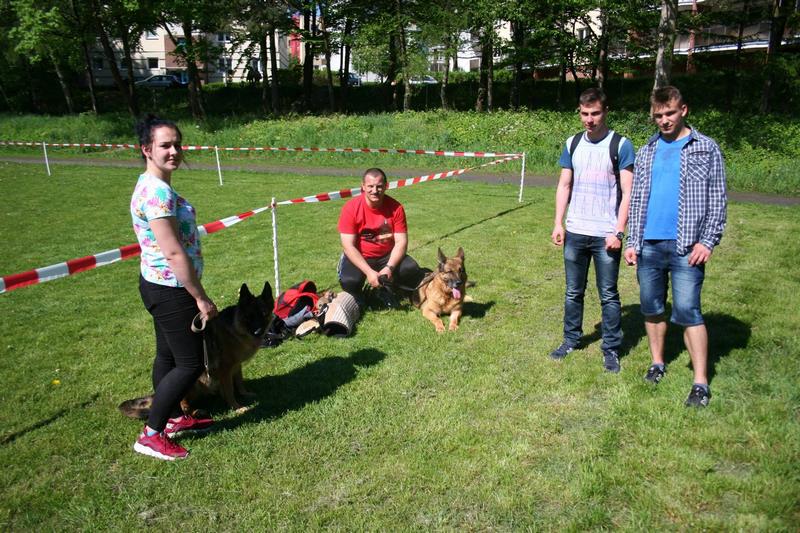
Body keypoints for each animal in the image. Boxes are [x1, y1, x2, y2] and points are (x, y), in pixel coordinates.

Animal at [119, 281, 274, 418]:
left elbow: (239, 381)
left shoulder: (236, 365)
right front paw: (236, 407)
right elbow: (230, 390)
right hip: (192, 383)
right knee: (183, 406)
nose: (258, 332)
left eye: (264, 313)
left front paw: (244, 393)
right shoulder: (225, 369)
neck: (236, 327)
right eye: (249, 316)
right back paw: (196, 413)